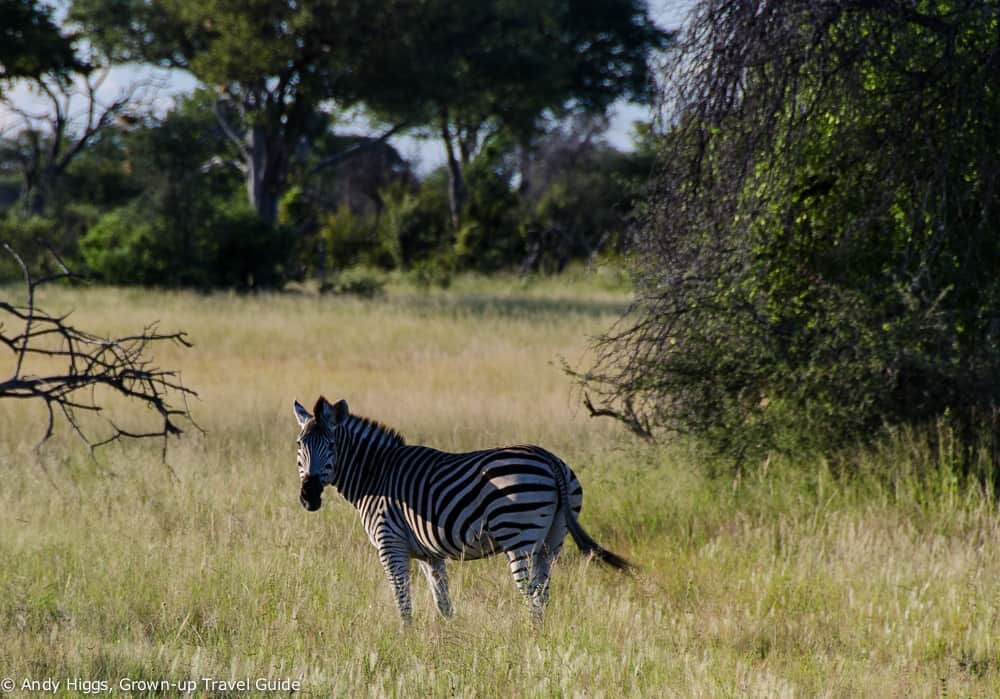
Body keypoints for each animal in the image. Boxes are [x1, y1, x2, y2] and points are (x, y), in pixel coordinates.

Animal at [293, 395, 631, 624]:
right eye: (299, 445)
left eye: (332, 447)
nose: (309, 497)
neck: (375, 474)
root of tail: (549, 459)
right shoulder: (429, 554)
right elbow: (443, 603)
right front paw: (446, 642)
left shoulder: (390, 545)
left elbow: (403, 601)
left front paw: (406, 640)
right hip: (554, 539)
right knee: (543, 593)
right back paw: (539, 637)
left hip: (519, 537)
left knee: (530, 594)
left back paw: (527, 639)